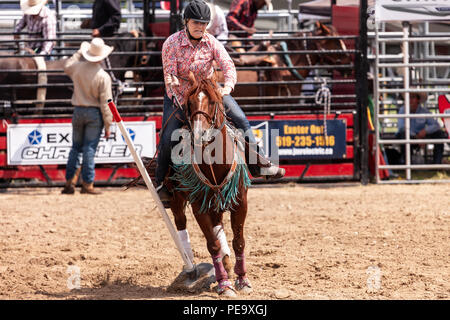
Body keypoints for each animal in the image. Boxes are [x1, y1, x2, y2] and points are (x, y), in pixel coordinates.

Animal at [165, 71, 251, 296]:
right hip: (177, 200)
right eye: (189, 103)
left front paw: (242, 279)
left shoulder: (240, 202)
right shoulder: (198, 206)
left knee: (218, 225)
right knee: (181, 224)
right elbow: (212, 245)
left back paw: (228, 264)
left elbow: (239, 242)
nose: (199, 134)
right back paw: (191, 271)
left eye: (213, 101)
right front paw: (224, 284)